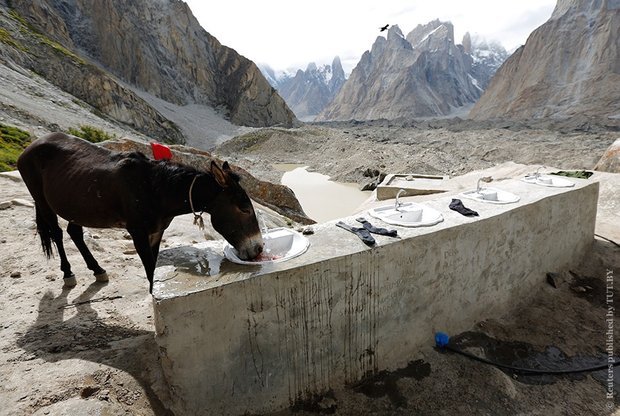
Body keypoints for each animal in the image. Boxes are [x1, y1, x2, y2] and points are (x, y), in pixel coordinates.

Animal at [16, 133, 264, 292]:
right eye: (244, 208)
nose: (259, 249)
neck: (155, 188)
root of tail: (32, 144)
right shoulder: (137, 232)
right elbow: (148, 267)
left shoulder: (156, 232)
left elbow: (153, 264)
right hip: (42, 199)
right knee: (56, 232)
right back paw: (68, 274)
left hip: (76, 204)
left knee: (74, 231)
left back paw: (98, 270)